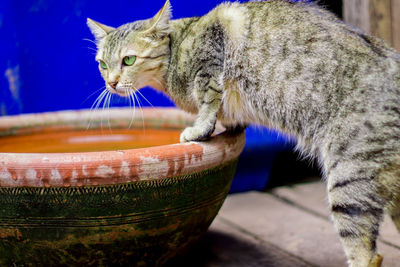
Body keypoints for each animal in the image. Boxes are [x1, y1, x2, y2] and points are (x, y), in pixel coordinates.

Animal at [87, 1, 400, 266]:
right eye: (102, 64)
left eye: (128, 60)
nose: (111, 83)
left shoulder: (212, 49)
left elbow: (208, 98)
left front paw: (199, 129)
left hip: (349, 177)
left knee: (368, 254)